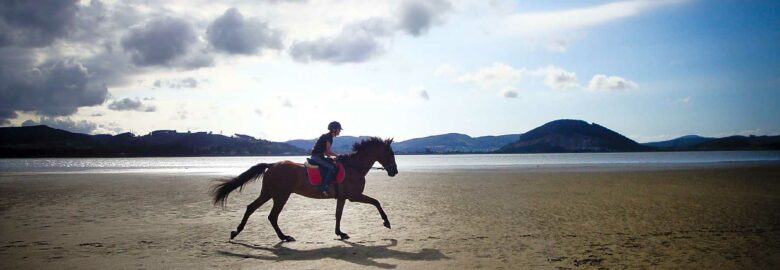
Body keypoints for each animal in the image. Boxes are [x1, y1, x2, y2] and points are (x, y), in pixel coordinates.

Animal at [212, 138, 400, 242]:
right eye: (390, 153)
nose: (394, 171)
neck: (354, 167)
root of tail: (272, 165)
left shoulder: (342, 197)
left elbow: (338, 215)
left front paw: (340, 233)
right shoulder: (354, 196)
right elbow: (376, 202)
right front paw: (386, 222)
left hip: (268, 193)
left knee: (251, 208)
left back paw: (236, 232)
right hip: (281, 195)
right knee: (272, 216)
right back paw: (284, 237)